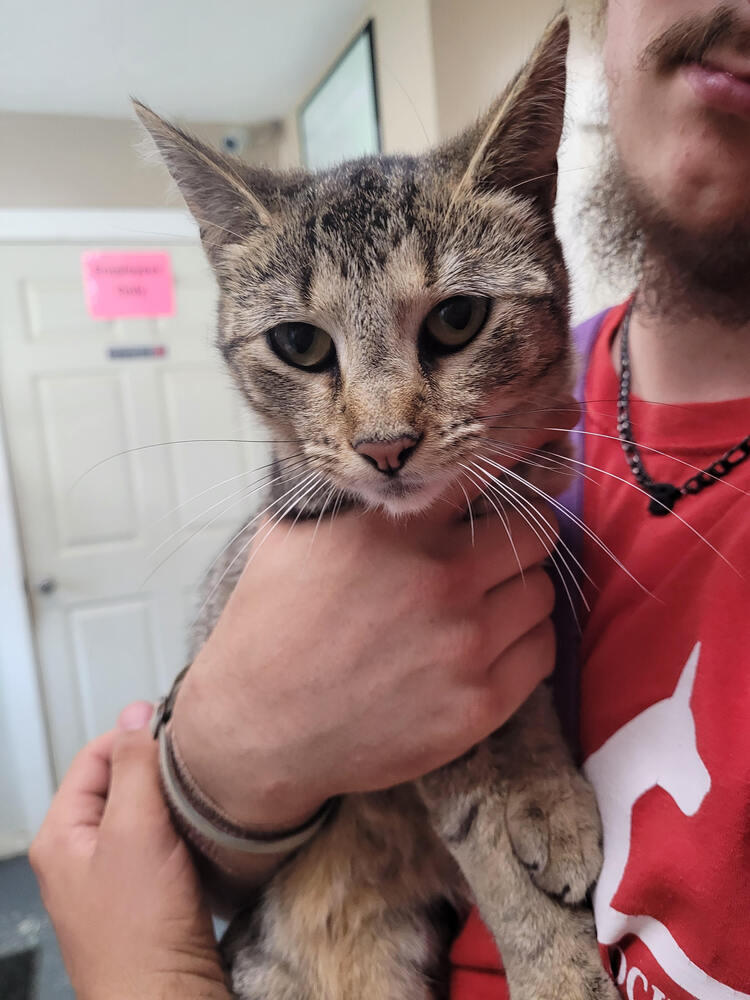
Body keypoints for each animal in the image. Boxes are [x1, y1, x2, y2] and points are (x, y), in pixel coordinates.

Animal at [138, 15, 620, 1000]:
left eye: (456, 320)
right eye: (298, 343)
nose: (386, 445)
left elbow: (528, 699)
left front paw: (550, 795)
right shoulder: (420, 719)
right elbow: (481, 828)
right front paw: (556, 963)